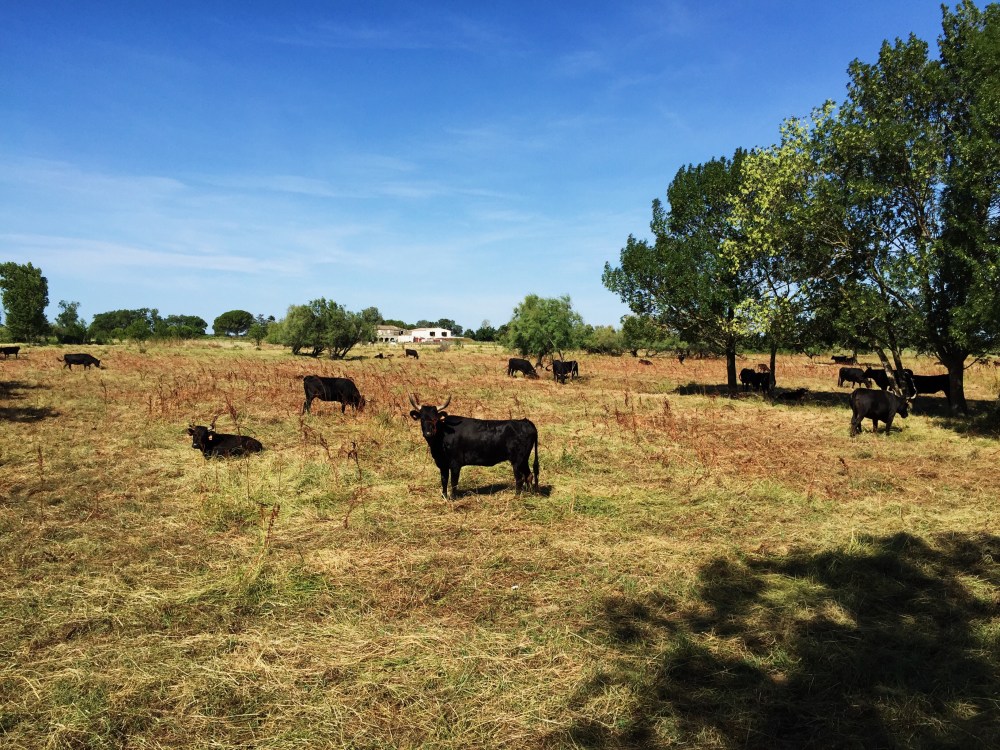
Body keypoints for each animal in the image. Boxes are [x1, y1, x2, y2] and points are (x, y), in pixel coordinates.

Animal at [408, 394, 539, 499]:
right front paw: (444, 496)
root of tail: (525, 422)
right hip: (524, 459)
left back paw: (517, 496)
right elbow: (444, 480)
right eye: (422, 419)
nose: (428, 433)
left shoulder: (455, 463)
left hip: (517, 460)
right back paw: (529, 493)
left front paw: (453, 498)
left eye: (435, 419)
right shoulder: (442, 464)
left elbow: (454, 482)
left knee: (520, 478)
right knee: (529, 475)